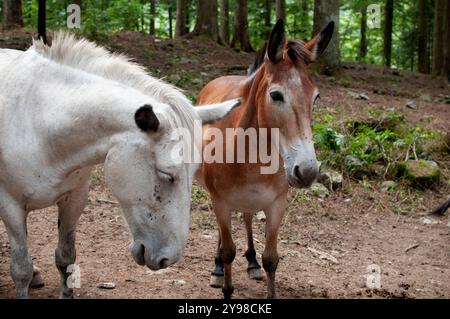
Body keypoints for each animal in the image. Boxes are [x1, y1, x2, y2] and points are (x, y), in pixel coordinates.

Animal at [0, 33, 239, 298]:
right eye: (166, 174)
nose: (168, 258)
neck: (38, 119)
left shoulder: (74, 199)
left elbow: (66, 257)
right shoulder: (10, 205)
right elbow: (21, 269)